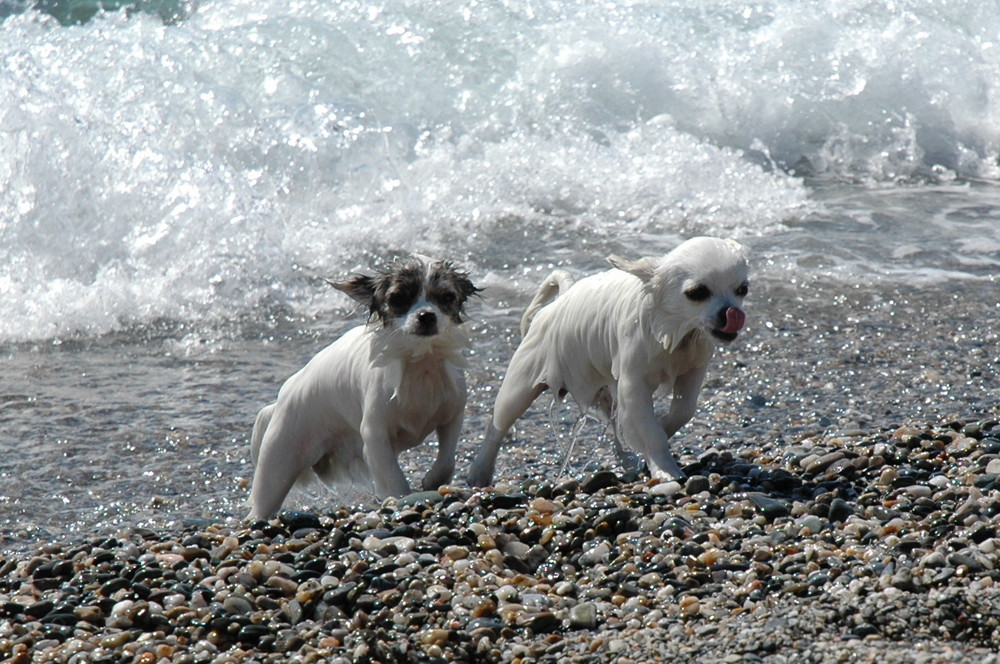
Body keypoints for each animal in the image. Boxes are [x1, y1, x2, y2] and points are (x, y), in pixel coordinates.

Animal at [252, 254, 482, 520]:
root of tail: (282, 398)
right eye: (397, 298)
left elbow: (446, 460)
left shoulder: (453, 416)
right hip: (277, 465)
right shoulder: (374, 434)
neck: (421, 364)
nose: (426, 316)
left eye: (447, 297)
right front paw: (402, 499)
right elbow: (394, 481)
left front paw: (431, 481)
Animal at [464, 236, 748, 486]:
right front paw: (664, 468)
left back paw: (625, 459)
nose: (732, 312)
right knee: (497, 427)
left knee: (612, 422)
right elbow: (651, 431)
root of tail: (559, 302)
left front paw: (662, 430)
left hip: (601, 389)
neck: (677, 331)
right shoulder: (634, 384)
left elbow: (683, 411)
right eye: (697, 293)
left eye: (742, 290)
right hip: (519, 388)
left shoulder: (692, 371)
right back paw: (479, 472)